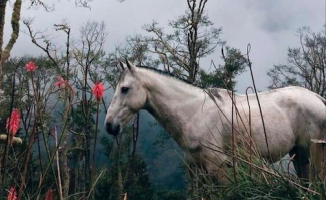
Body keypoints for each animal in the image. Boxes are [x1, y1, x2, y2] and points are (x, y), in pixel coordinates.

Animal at [104, 60, 326, 180]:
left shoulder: (217, 167)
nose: (109, 125)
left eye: (125, 89)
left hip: (310, 154)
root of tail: (317, 98)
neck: (194, 112)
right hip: (298, 154)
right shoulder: (200, 170)